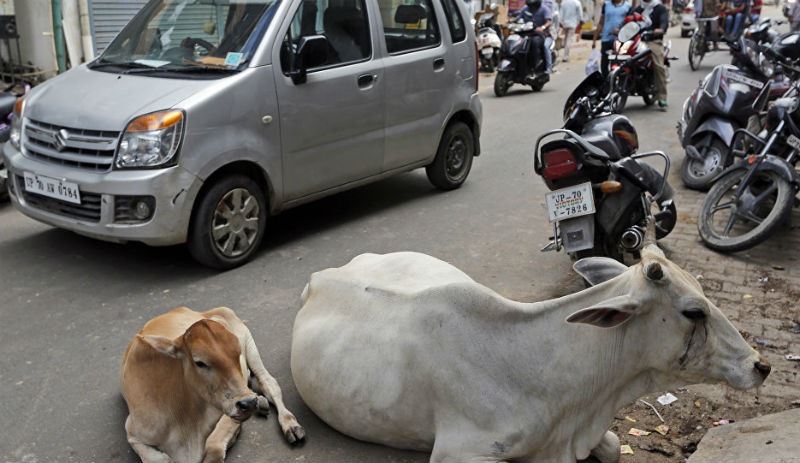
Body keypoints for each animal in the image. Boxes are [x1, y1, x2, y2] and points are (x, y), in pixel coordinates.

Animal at [120, 308, 304, 463]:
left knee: (269, 383)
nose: (249, 403)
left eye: (237, 353)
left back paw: (290, 424)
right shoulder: (132, 432)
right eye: (199, 362)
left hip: (249, 343)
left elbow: (214, 449)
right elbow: (159, 459)